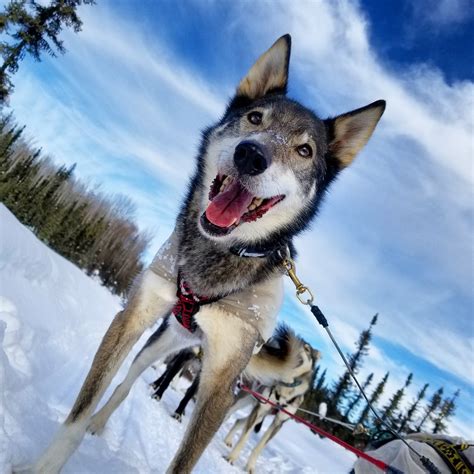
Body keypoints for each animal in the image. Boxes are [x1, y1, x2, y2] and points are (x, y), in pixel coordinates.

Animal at [224, 328, 320, 472]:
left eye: (307, 348)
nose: (293, 345)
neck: (286, 388)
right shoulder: (260, 410)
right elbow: (244, 437)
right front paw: (232, 457)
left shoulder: (278, 422)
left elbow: (260, 447)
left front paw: (250, 466)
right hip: (245, 401)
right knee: (229, 413)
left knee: (239, 421)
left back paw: (228, 440)